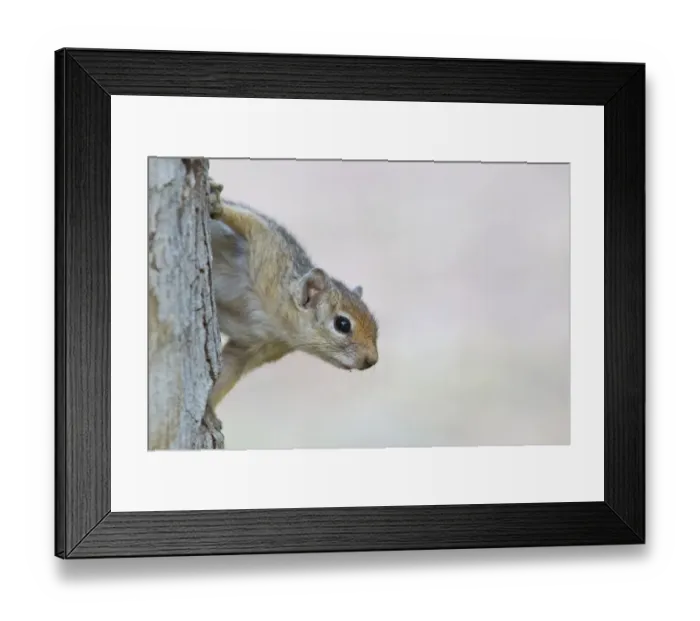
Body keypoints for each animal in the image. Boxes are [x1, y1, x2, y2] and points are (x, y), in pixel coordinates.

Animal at [206, 180, 379, 410]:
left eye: (376, 326)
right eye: (342, 324)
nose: (372, 360)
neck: (279, 323)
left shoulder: (252, 347)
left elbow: (230, 368)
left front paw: (208, 412)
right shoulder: (270, 248)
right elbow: (246, 221)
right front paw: (216, 204)